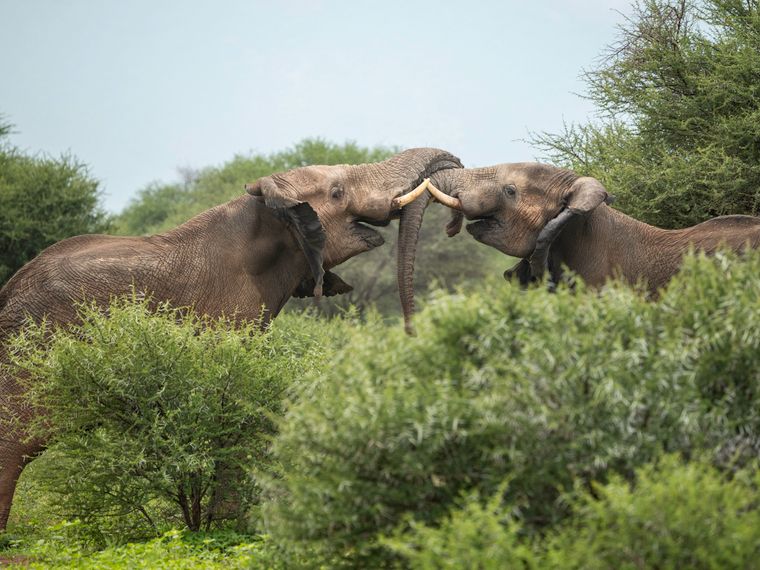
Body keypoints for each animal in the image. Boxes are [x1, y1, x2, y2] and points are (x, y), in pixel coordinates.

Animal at [0, 147, 462, 531]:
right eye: (336, 192)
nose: (412, 331)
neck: (259, 209)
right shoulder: (230, 312)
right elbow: (232, 403)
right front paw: (226, 528)